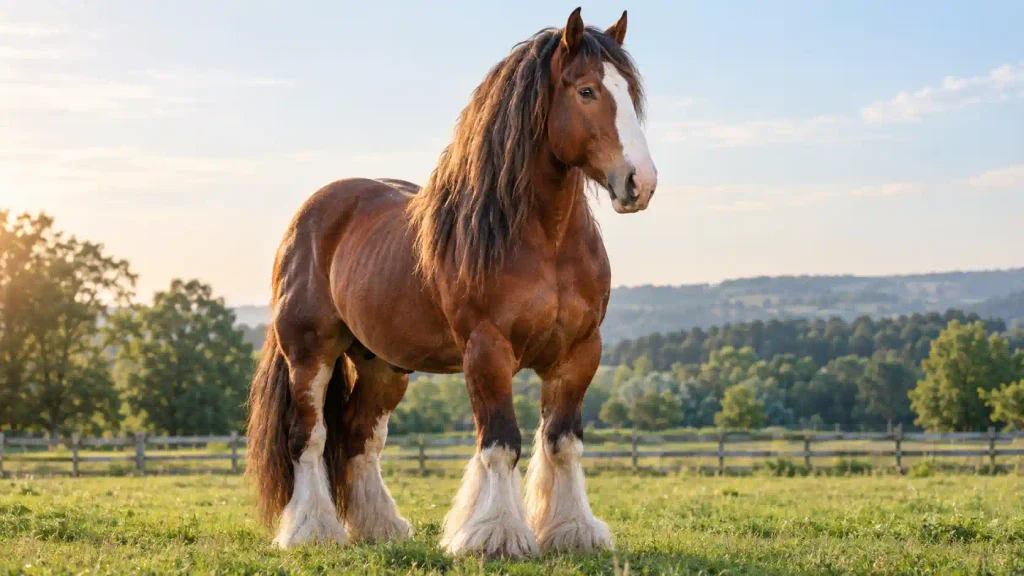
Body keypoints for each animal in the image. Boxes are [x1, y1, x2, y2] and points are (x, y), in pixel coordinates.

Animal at [246, 7, 657, 558]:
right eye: (587, 90)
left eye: (629, 91)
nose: (640, 182)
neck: (543, 239)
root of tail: (308, 216)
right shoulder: (487, 350)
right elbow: (501, 443)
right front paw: (496, 535)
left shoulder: (579, 352)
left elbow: (562, 443)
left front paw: (572, 531)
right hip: (310, 353)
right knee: (309, 437)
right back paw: (312, 530)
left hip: (383, 365)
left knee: (357, 438)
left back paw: (380, 526)